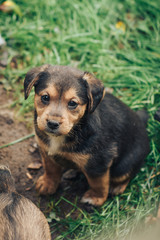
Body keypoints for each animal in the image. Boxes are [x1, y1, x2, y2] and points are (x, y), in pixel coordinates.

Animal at [23, 64, 150, 206]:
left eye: (73, 103)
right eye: (45, 97)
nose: (52, 123)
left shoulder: (98, 162)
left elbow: (98, 183)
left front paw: (95, 198)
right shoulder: (46, 151)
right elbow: (50, 169)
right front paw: (47, 184)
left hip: (124, 166)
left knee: (127, 175)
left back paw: (116, 187)